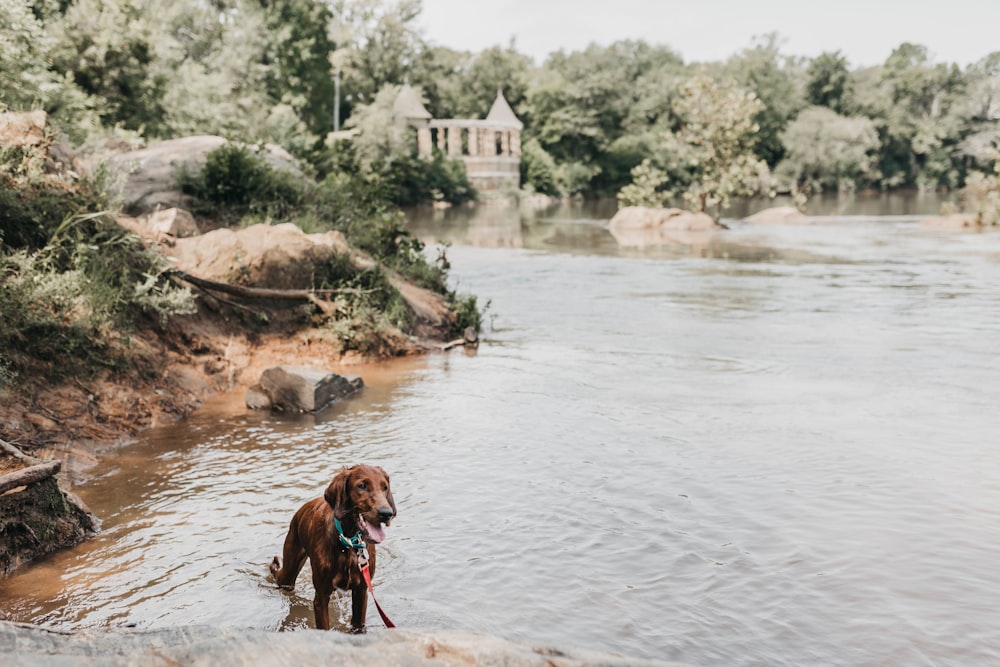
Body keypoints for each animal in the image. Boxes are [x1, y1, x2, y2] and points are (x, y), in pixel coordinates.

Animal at [274, 464, 398, 632]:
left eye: (385, 487)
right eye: (362, 485)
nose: (387, 513)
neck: (347, 543)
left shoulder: (361, 591)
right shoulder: (321, 595)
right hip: (289, 571)